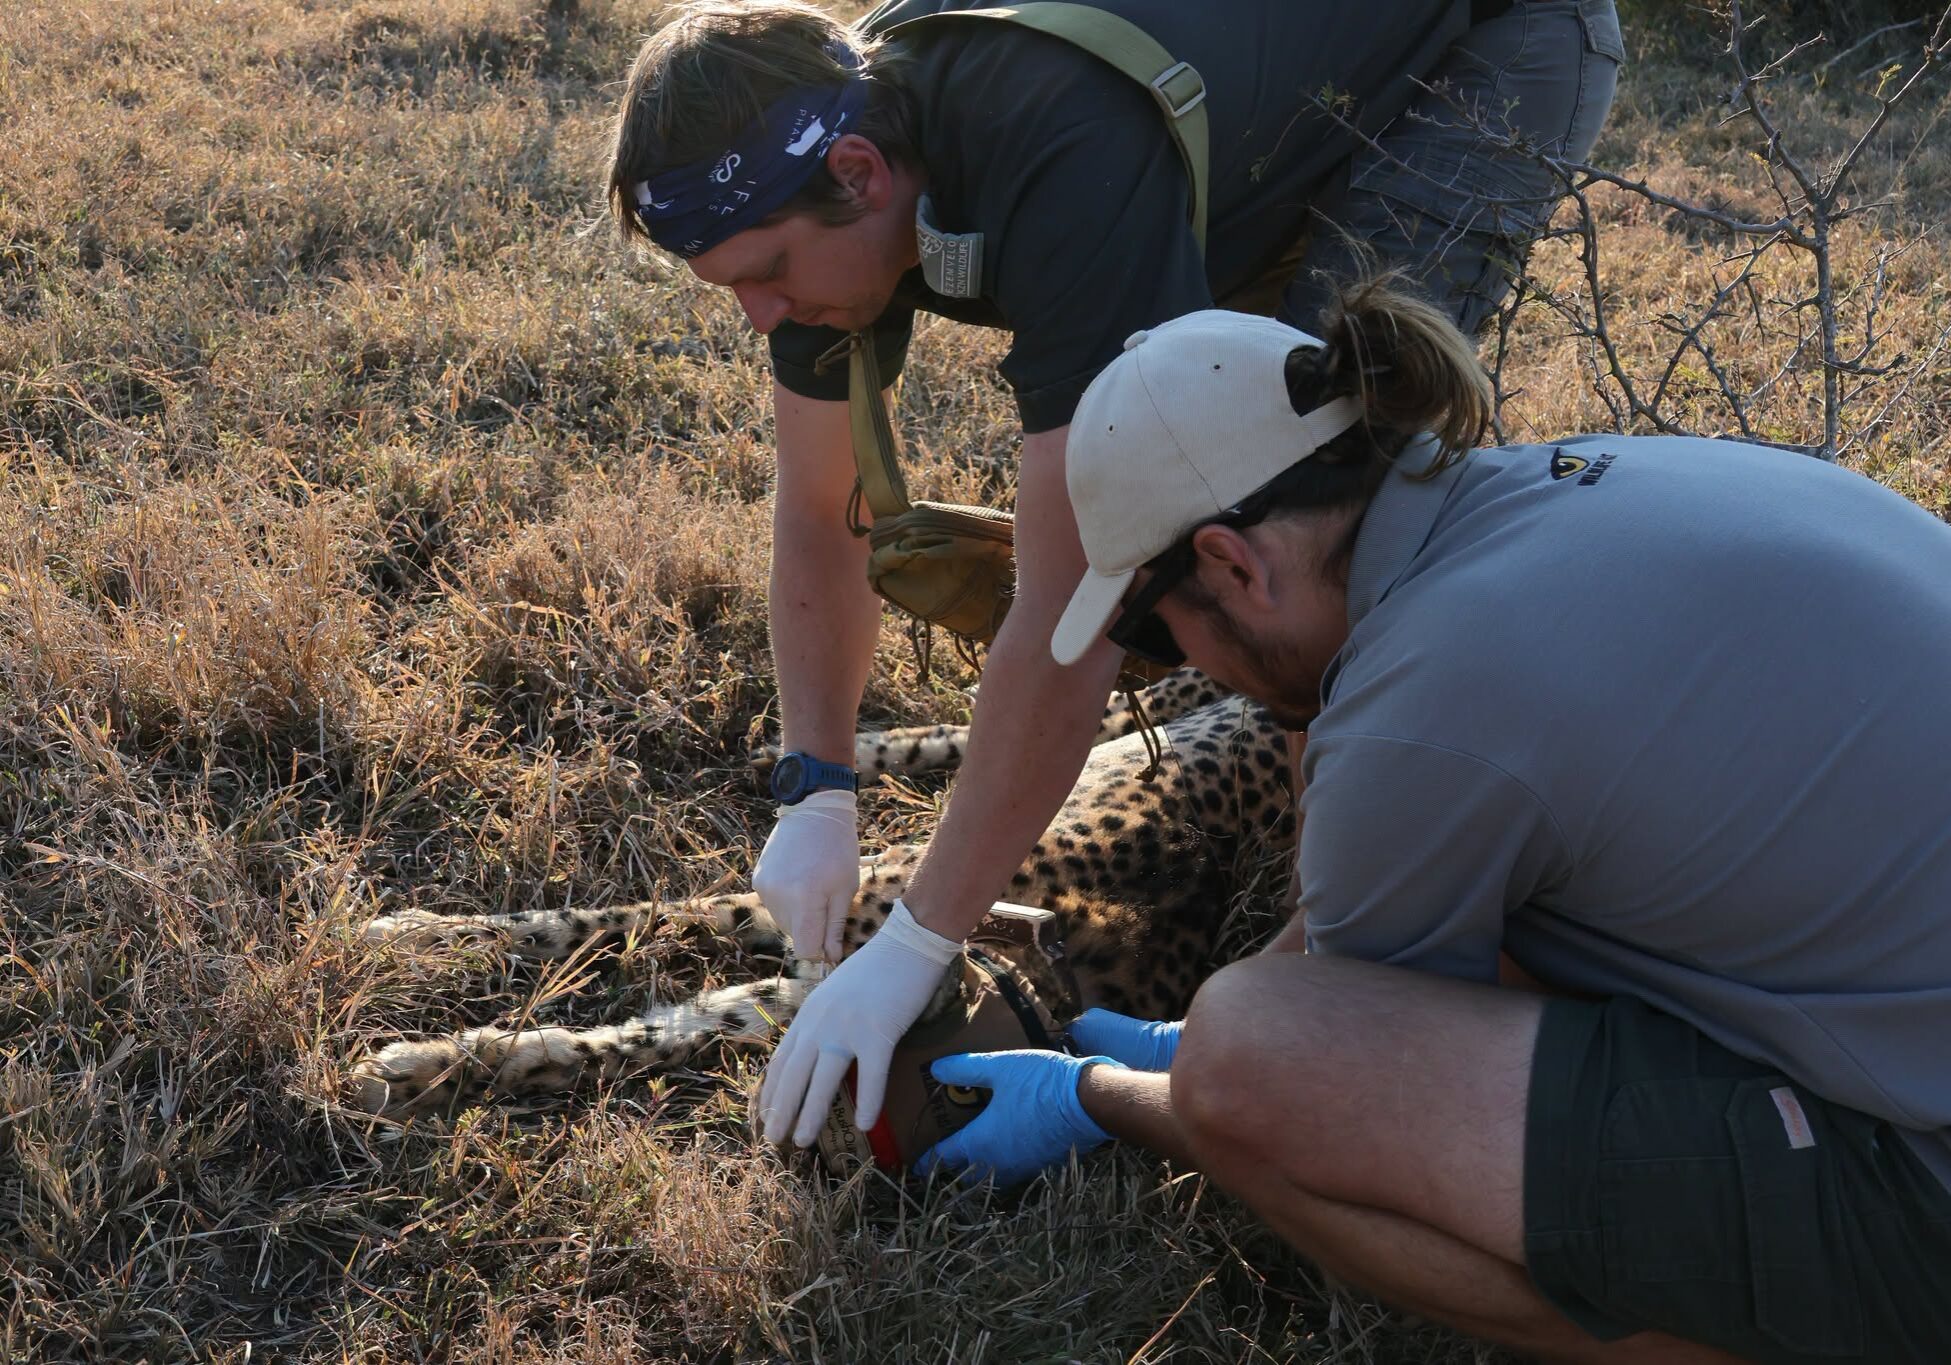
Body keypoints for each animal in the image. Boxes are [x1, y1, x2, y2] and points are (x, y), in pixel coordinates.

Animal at [346, 668, 1298, 1117]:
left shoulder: (813, 991)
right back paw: (853, 749)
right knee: (1064, 714)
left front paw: (441, 1060)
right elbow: (603, 922)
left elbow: (631, 1025)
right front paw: (416, 942)